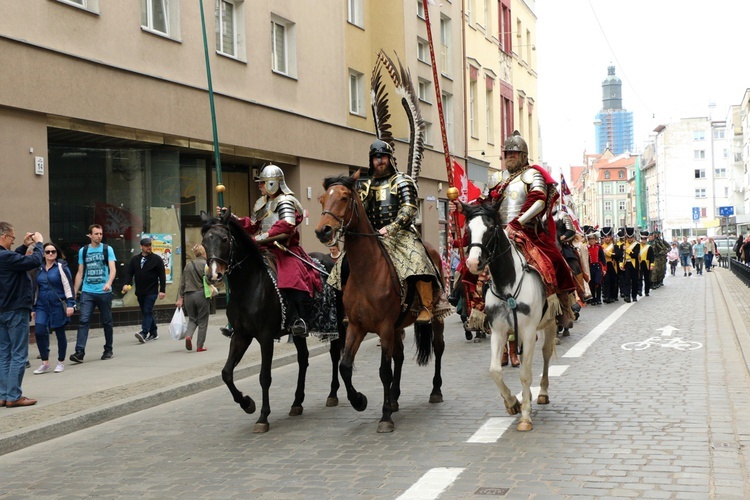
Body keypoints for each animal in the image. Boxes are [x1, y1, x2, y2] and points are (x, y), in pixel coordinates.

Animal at [200, 209, 346, 432]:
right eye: (204, 241)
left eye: (224, 239)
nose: (214, 275)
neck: (248, 286)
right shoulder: (241, 335)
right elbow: (226, 373)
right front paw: (247, 404)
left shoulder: (265, 336)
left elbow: (264, 376)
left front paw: (263, 417)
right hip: (299, 332)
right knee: (303, 359)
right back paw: (297, 402)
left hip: (336, 322)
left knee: (334, 353)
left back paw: (332, 394)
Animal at [312, 173, 446, 434]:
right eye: (322, 199)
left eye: (344, 197)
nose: (323, 230)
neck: (367, 271)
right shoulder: (356, 326)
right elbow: (345, 366)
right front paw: (359, 401)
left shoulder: (383, 327)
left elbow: (384, 370)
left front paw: (385, 418)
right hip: (396, 327)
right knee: (400, 356)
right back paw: (393, 398)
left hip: (434, 316)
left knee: (437, 347)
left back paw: (435, 391)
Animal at [458, 201, 560, 432]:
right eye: (468, 230)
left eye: (491, 228)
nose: (473, 263)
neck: (508, 286)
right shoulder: (499, 331)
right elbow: (495, 370)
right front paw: (513, 403)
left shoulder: (529, 332)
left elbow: (525, 373)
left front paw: (525, 417)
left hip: (549, 324)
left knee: (545, 354)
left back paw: (542, 393)